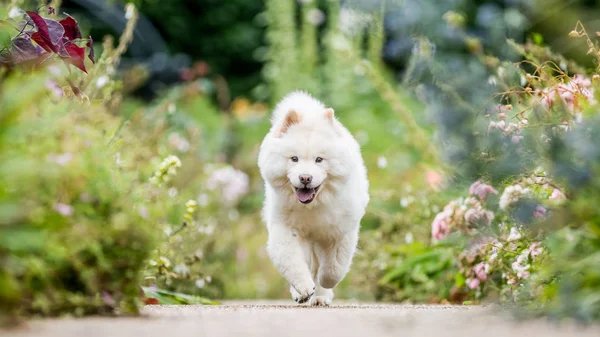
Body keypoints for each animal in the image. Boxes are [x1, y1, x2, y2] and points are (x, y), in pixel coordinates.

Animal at [256, 90, 368, 306]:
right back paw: (301, 294)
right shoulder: (286, 230)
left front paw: (325, 283)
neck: (312, 207)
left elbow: (333, 268)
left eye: (319, 160)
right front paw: (304, 288)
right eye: (294, 159)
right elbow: (293, 262)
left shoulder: (340, 232)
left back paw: (321, 297)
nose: (305, 178)